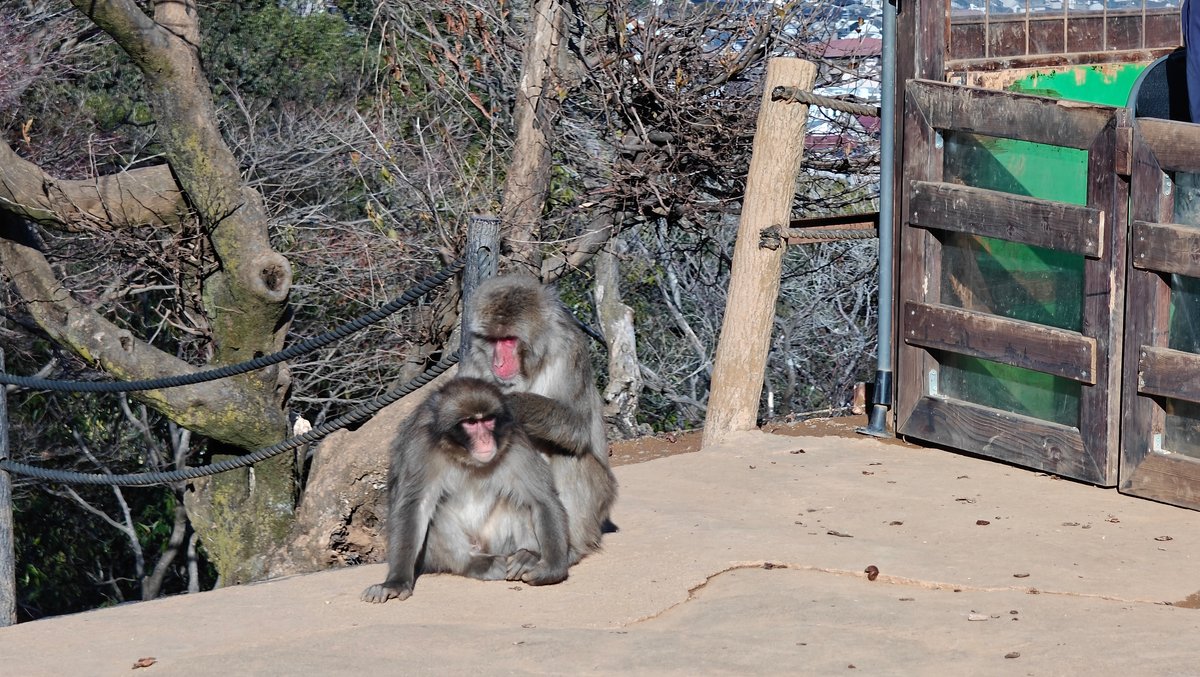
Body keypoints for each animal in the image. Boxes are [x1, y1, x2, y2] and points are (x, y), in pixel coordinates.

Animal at [361, 377, 570, 603]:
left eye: (488, 420)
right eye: (471, 423)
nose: (486, 440)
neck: (465, 457)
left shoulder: (515, 442)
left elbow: (542, 499)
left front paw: (551, 569)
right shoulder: (419, 447)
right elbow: (415, 506)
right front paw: (396, 582)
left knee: (517, 500)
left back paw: (527, 555)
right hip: (437, 556)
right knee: (436, 510)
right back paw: (473, 563)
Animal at [459, 274, 618, 566]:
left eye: (509, 340)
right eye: (492, 339)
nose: (498, 363)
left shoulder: (569, 351)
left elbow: (578, 427)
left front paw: (512, 405)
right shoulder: (474, 361)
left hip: (601, 501)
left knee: (568, 454)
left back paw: (567, 550)